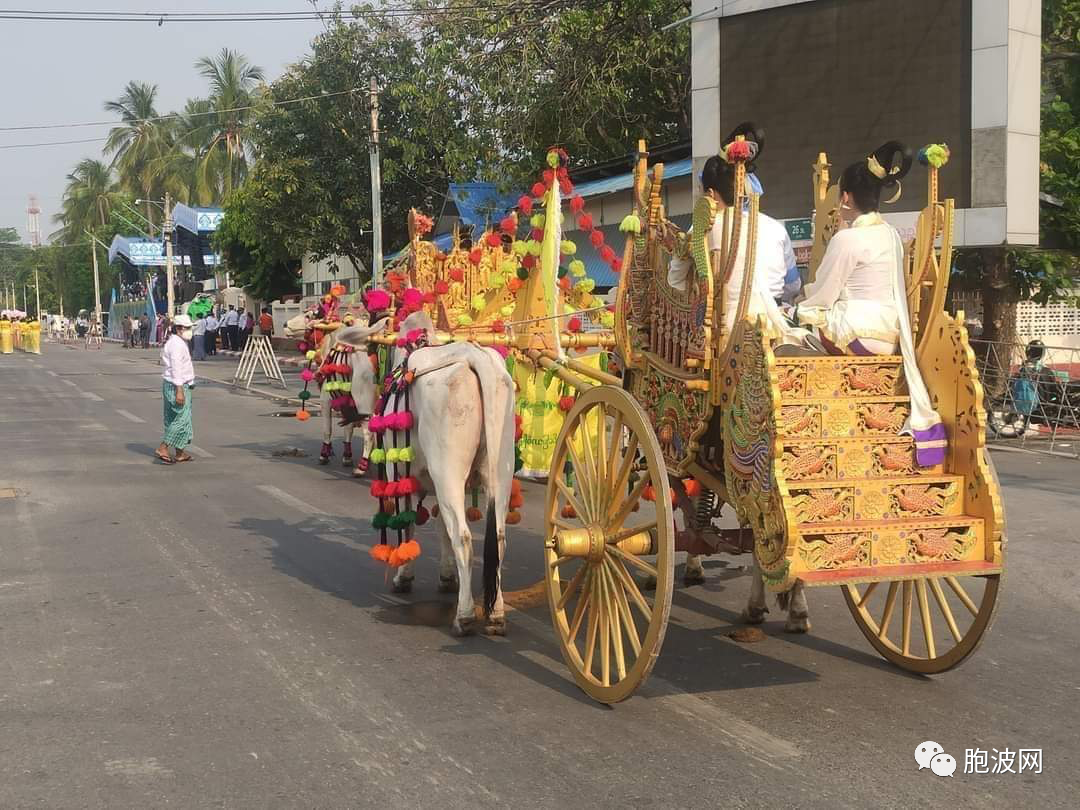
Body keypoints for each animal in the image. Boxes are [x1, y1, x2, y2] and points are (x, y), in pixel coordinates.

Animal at [345, 313, 514, 639]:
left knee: (463, 536)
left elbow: (408, 523)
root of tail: (474, 356)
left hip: (449, 472)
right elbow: (440, 528)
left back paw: (464, 616)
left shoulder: (398, 472)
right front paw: (447, 577)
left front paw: (403, 576)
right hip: (500, 473)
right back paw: (496, 614)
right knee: (497, 538)